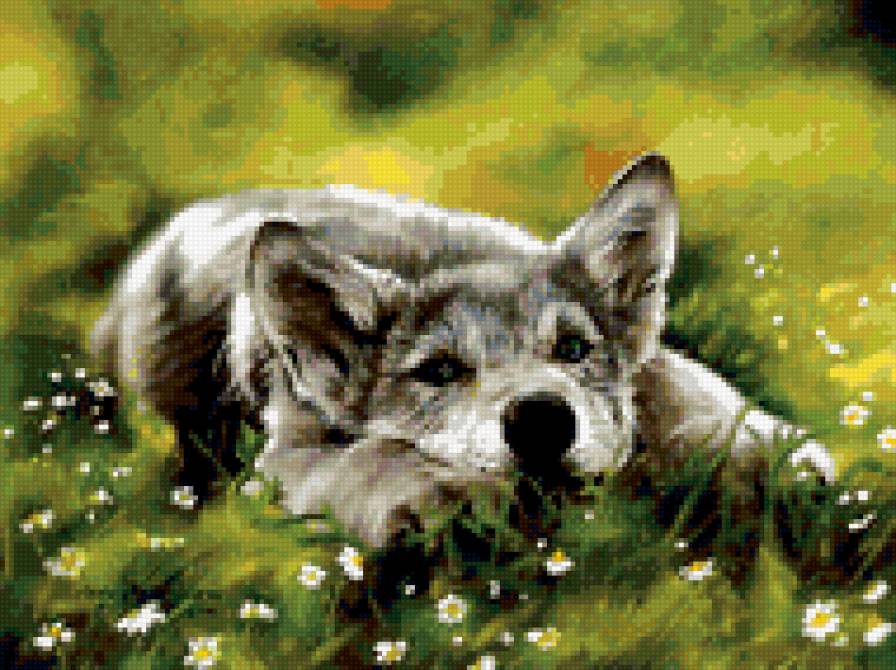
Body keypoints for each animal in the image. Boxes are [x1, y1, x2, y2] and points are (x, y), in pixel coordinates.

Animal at [92, 153, 839, 578]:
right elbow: (374, 459)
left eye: (573, 349)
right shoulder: (288, 457)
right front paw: (436, 500)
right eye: (441, 371)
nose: (541, 420)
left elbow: (714, 418)